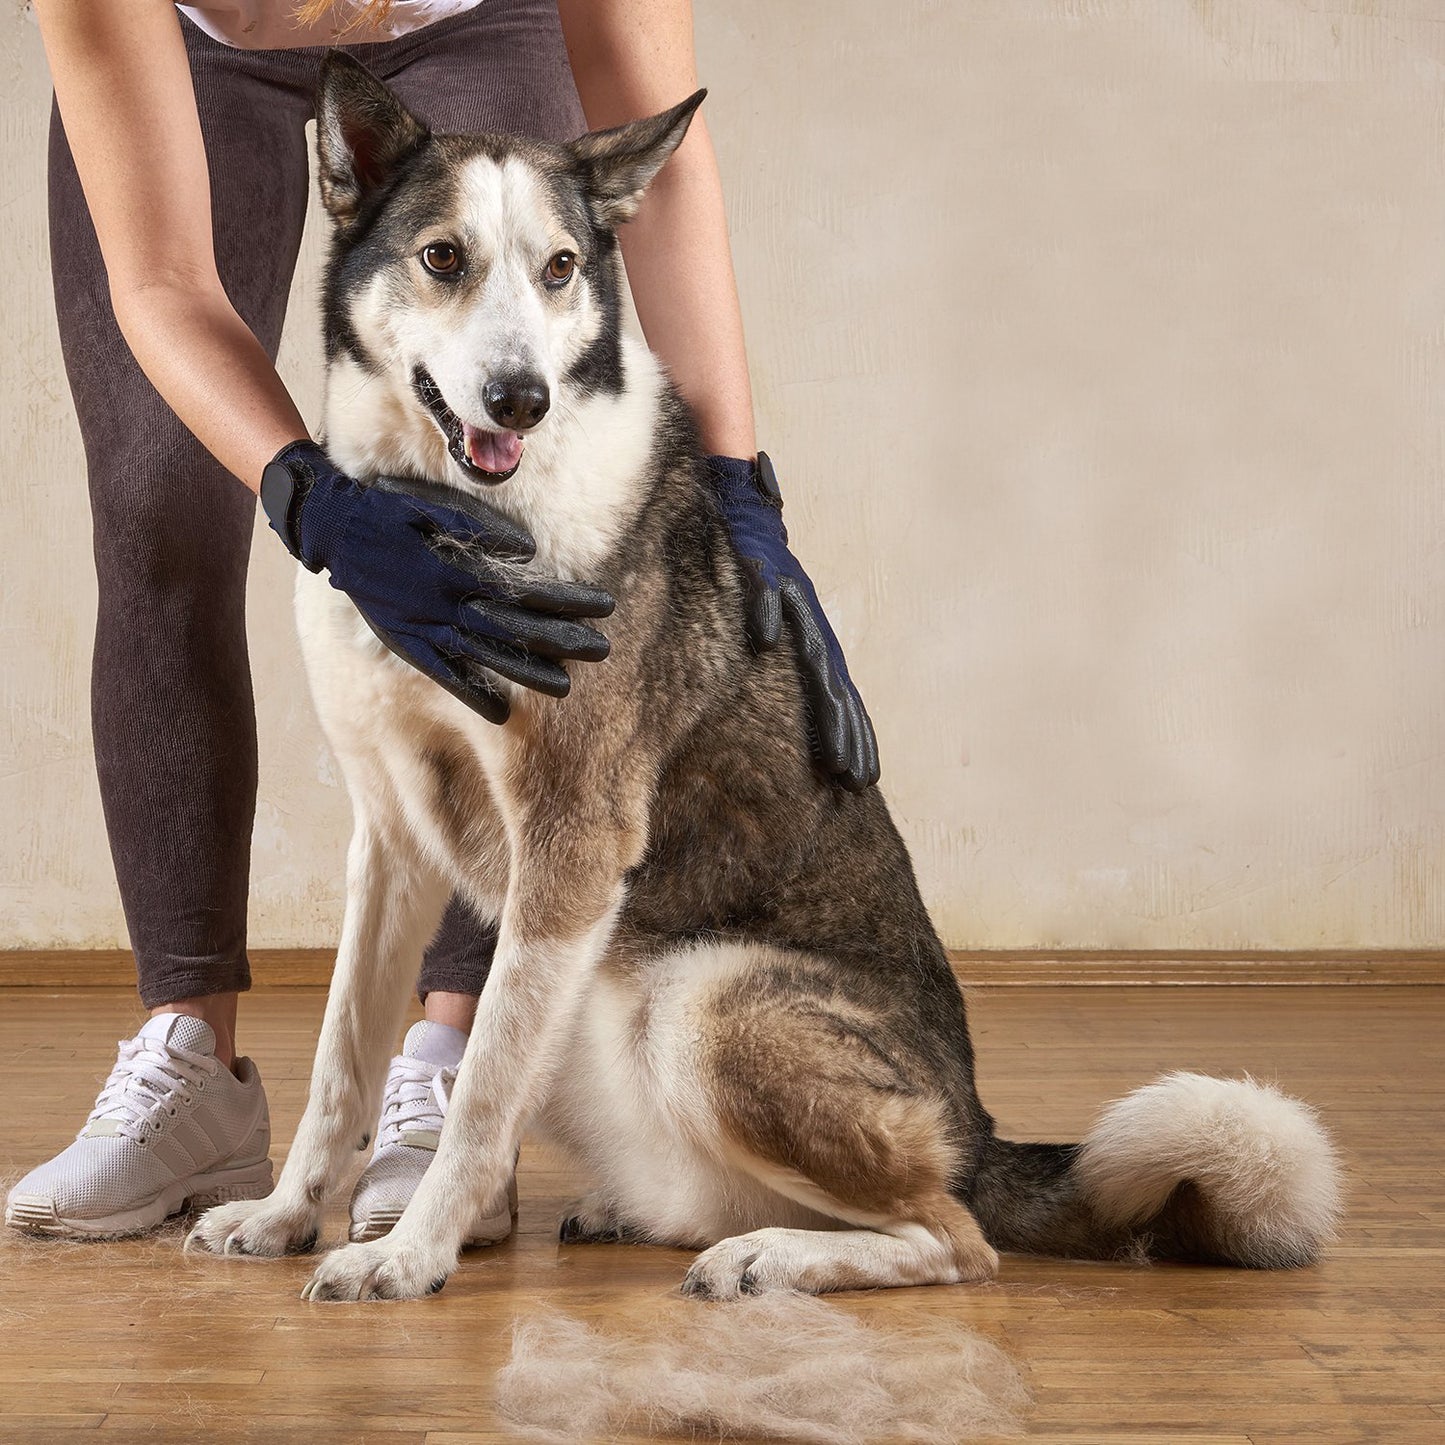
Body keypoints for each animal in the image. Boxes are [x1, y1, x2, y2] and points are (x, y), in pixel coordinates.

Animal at [186, 56, 1335, 1306]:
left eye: (560, 268)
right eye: (442, 257)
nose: (520, 398)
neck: (443, 522)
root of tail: (976, 1128)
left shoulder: (573, 840)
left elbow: (481, 1087)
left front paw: (410, 1250)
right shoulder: (390, 840)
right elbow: (339, 1062)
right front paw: (285, 1215)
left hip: (699, 1000)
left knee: (953, 1237)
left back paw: (769, 1255)